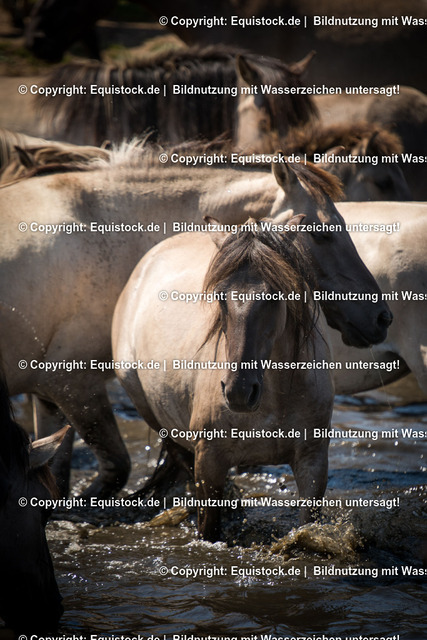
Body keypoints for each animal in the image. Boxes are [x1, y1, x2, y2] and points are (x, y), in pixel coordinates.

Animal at [0, 145, 390, 497]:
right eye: (322, 233)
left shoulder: (50, 396)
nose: (381, 316)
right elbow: (114, 468)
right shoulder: (70, 384)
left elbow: (58, 472)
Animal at [112, 217, 334, 541]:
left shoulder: (313, 461)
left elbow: (308, 522)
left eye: (274, 295)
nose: (239, 392)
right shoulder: (209, 460)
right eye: (220, 296)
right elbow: (209, 527)